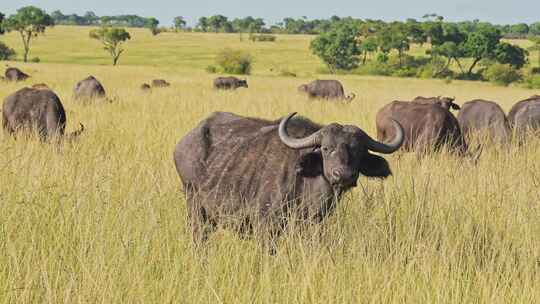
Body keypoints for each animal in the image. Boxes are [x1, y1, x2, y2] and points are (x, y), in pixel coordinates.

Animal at [172, 111, 400, 247]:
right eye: (326, 148)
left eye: (359, 151)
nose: (343, 175)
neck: (306, 184)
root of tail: (183, 144)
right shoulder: (266, 226)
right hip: (195, 209)